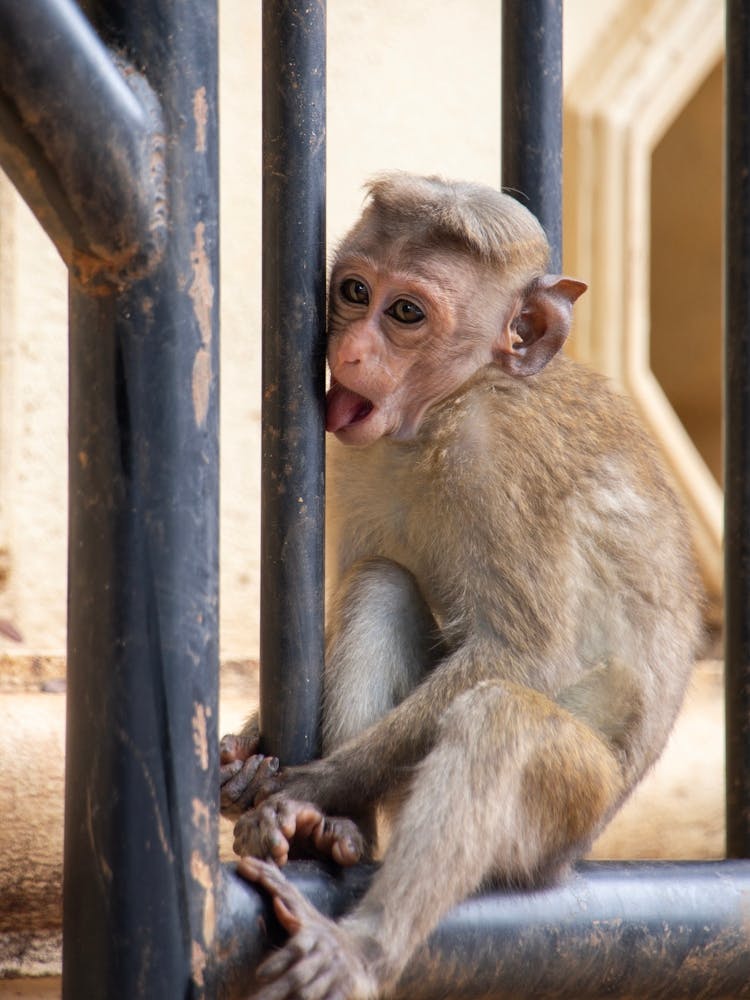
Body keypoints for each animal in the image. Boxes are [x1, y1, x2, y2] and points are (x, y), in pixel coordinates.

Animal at [220, 173, 703, 1000]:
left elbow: (523, 656)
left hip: (567, 816)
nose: (350, 348)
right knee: (381, 582)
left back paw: (361, 940)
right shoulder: (356, 459)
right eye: (354, 291)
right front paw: (248, 750)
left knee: (502, 719)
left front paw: (312, 785)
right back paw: (337, 833)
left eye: (406, 313)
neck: (446, 406)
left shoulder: (501, 458)